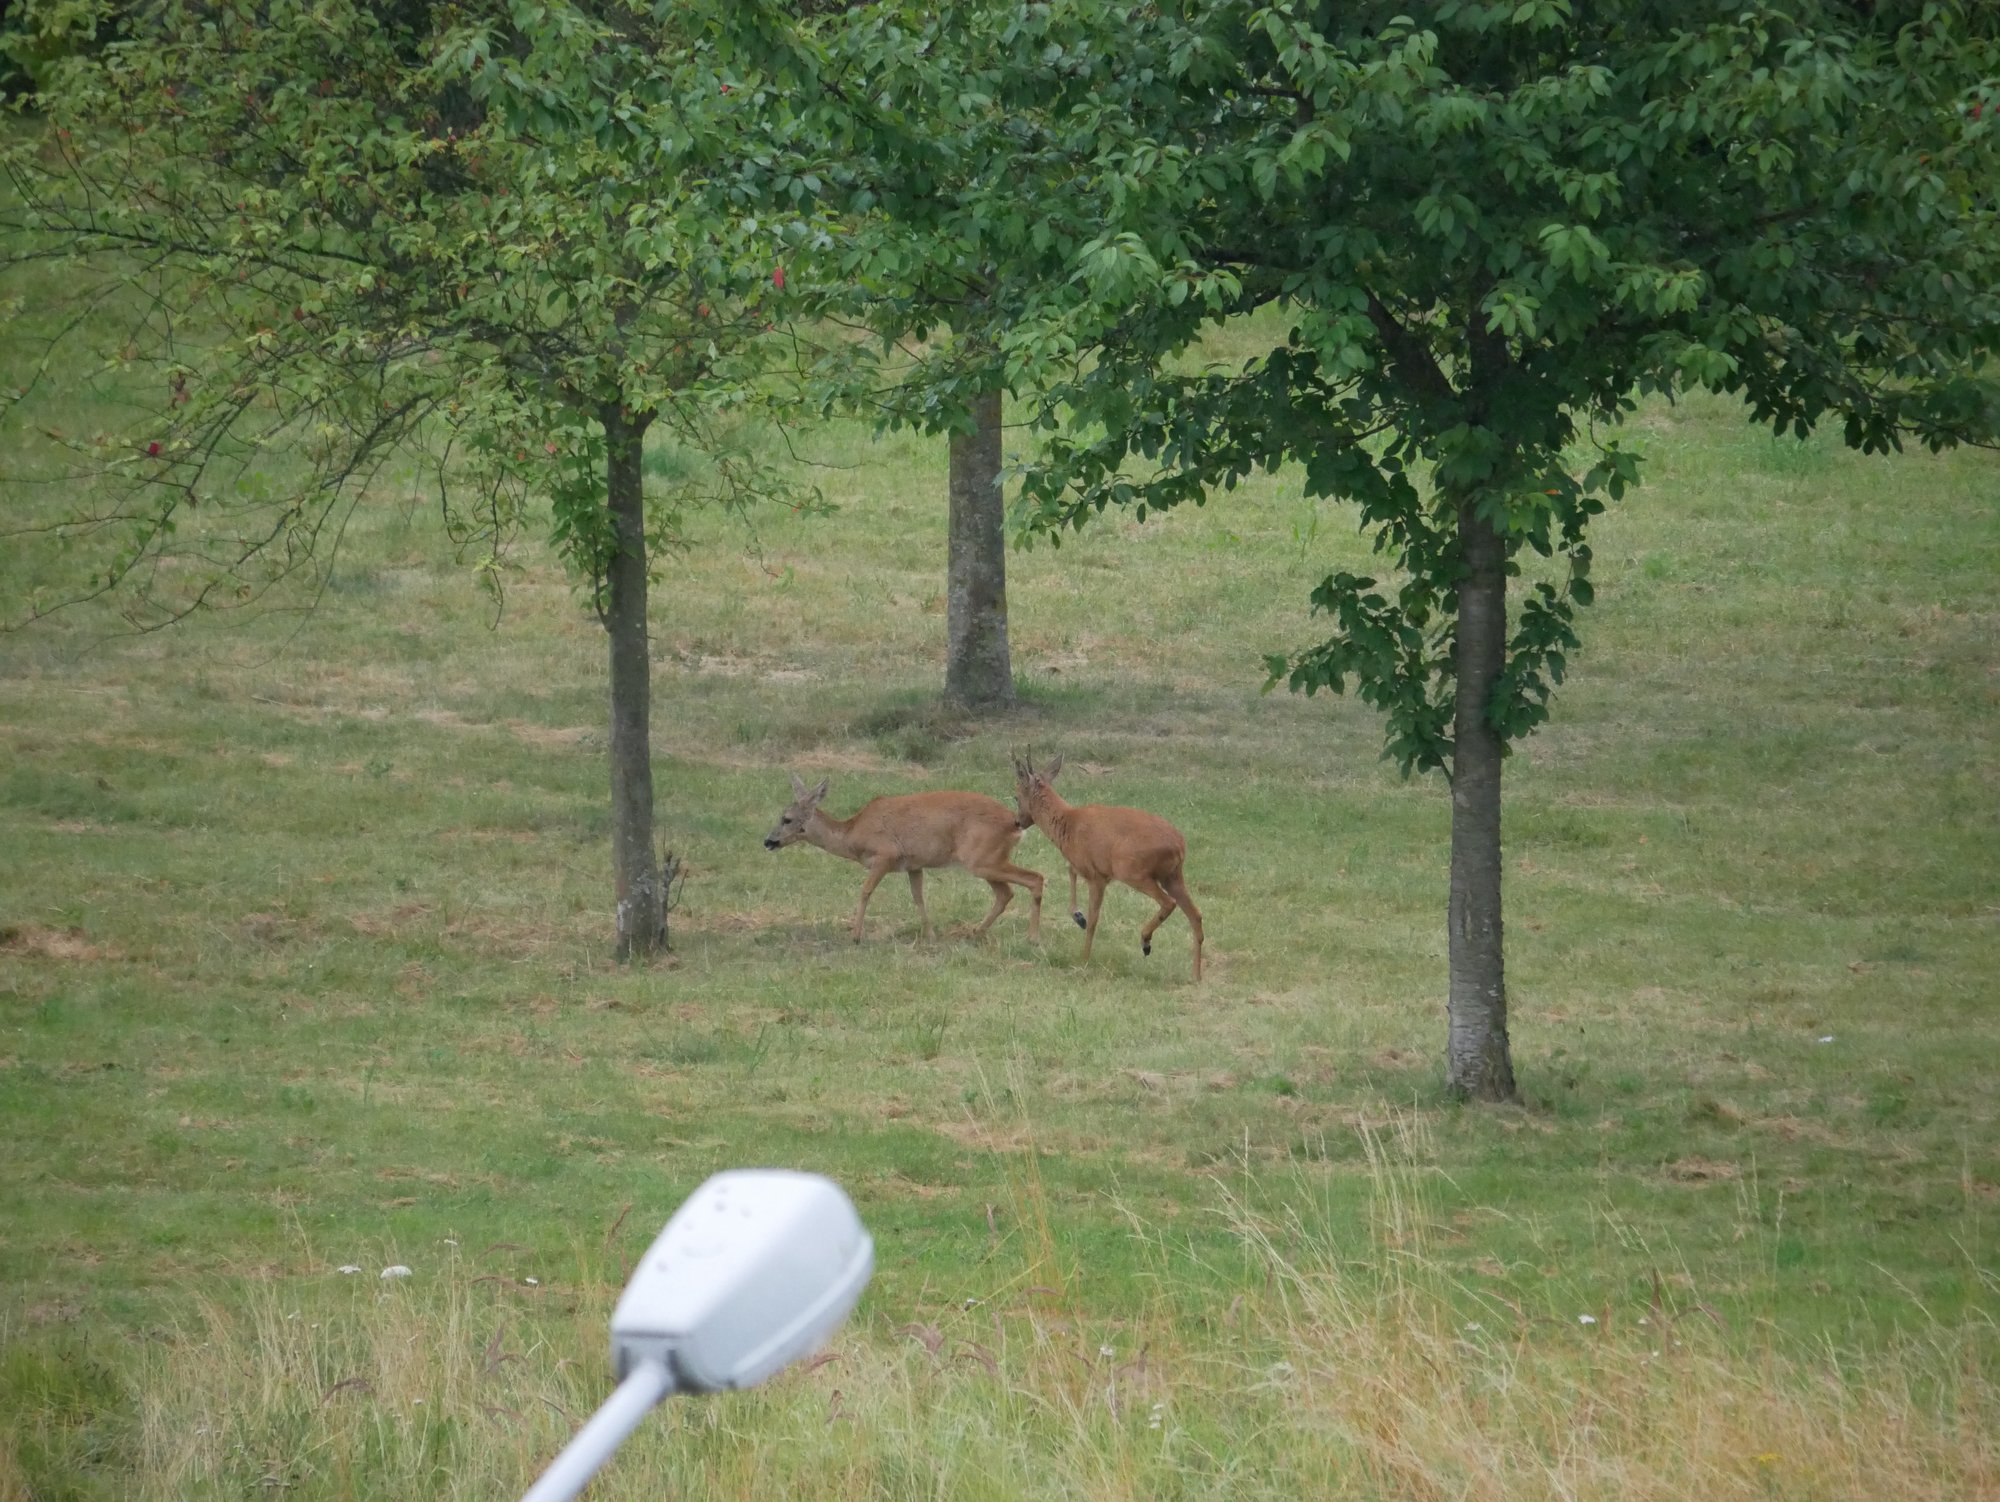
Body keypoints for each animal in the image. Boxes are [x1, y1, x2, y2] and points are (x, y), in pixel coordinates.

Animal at [760, 776, 1048, 940]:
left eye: (786, 819)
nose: (768, 841)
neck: (853, 833)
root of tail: (1015, 824)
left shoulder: (885, 854)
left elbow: (865, 891)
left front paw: (855, 935)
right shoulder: (914, 864)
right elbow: (918, 897)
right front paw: (930, 934)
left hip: (981, 859)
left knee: (1035, 878)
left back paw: (1032, 938)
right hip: (987, 860)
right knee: (1006, 893)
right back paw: (975, 932)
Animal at [1016, 752, 1200, 988]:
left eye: (1016, 796)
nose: (1017, 821)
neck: (1068, 823)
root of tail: (1180, 846)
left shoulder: (1097, 876)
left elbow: (1094, 919)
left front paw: (1083, 958)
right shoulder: (1091, 868)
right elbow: (1070, 870)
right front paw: (1077, 916)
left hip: (1133, 871)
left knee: (1169, 902)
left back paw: (1145, 941)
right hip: (1173, 876)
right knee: (1196, 916)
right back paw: (1196, 975)